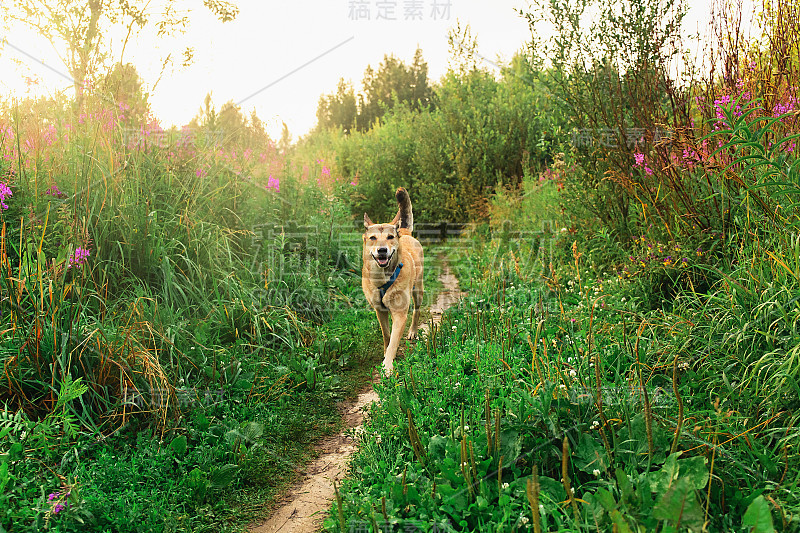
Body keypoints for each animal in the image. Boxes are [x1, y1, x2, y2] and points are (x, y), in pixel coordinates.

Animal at [362, 187, 424, 374]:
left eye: (390, 237)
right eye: (373, 238)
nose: (382, 250)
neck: (383, 277)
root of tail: (403, 232)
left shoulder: (400, 314)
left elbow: (394, 340)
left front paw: (388, 365)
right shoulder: (380, 311)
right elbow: (387, 336)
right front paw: (386, 353)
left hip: (418, 290)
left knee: (417, 310)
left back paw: (413, 331)